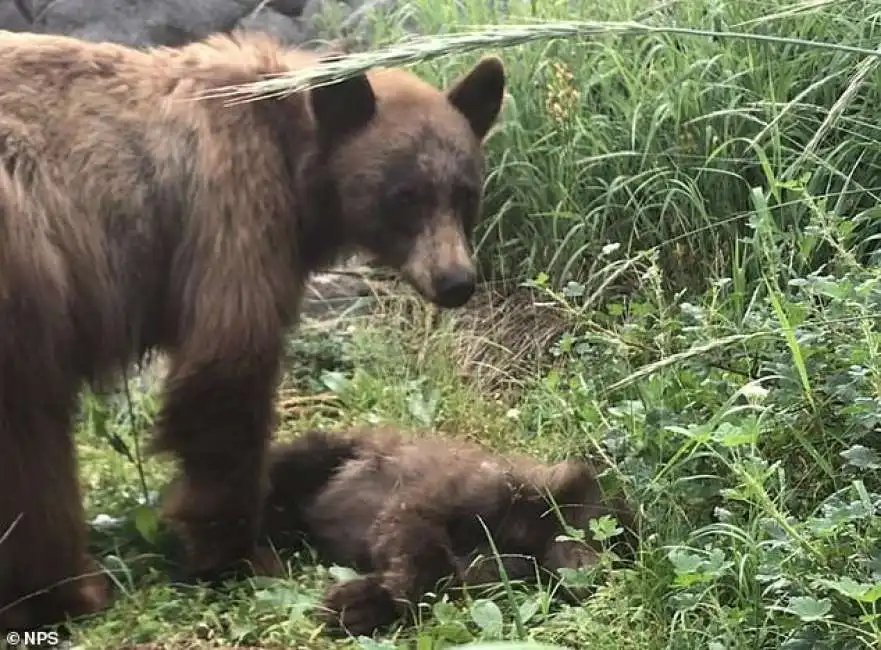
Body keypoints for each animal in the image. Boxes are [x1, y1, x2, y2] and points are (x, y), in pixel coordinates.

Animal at [0, 27, 506, 632]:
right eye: (404, 196)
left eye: (466, 192)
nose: (456, 281)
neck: (293, 151)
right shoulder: (232, 209)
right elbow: (227, 371)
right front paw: (239, 553)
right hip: (27, 266)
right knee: (31, 437)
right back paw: (67, 590)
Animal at [258, 426, 636, 632]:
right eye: (603, 534)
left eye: (622, 555)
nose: (600, 574)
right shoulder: (456, 494)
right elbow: (418, 536)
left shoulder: (499, 570)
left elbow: (447, 582)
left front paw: (363, 605)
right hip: (325, 453)